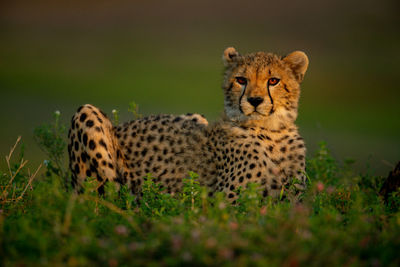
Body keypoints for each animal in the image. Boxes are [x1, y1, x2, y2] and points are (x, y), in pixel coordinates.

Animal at [68, 47, 310, 201]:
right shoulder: (226, 203)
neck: (271, 132)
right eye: (241, 80)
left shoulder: (293, 200)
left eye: (273, 81)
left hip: (194, 116)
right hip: (86, 113)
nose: (255, 100)